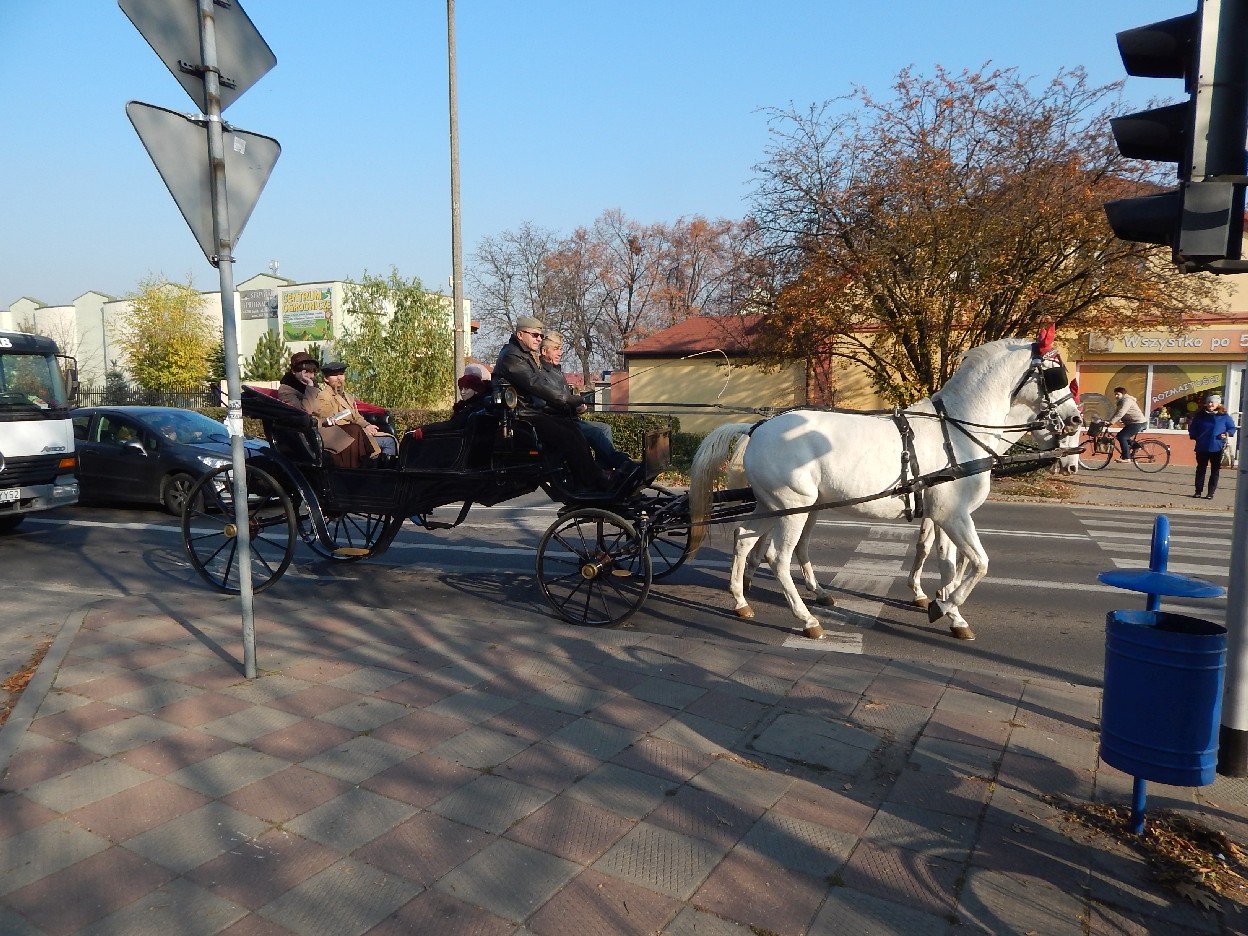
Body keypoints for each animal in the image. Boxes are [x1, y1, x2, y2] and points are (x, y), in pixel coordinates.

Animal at [687, 329, 1082, 641]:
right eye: (1056, 375)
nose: (1077, 420)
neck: (958, 429)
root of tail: (758, 427)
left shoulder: (943, 515)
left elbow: (949, 564)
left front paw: (949, 611)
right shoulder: (953, 515)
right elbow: (979, 563)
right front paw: (942, 606)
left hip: (775, 505)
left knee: (744, 539)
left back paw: (741, 600)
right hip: (792, 508)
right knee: (778, 557)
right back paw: (808, 619)